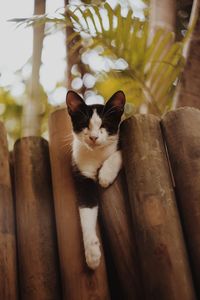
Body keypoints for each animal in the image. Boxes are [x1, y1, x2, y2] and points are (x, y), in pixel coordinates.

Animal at [66, 89, 125, 270]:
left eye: (104, 125)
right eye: (85, 124)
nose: (93, 137)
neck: (96, 154)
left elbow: (120, 151)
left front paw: (106, 174)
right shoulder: (82, 172)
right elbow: (87, 209)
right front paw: (92, 253)